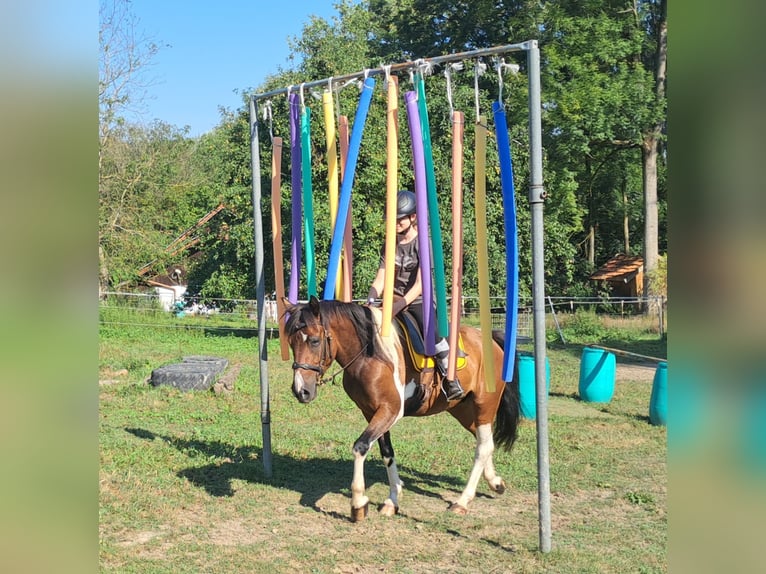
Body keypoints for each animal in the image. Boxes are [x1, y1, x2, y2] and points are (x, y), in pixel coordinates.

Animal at [284, 296, 520, 520]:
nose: (300, 390)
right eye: (291, 343)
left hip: (484, 405)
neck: (370, 354)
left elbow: (360, 447)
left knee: (483, 447)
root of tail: (489, 340)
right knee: (483, 440)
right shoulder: (372, 412)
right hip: (462, 409)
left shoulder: (390, 410)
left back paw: (462, 501)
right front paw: (393, 500)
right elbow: (387, 452)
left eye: (314, 341)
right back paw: (495, 482)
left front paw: (358, 503)